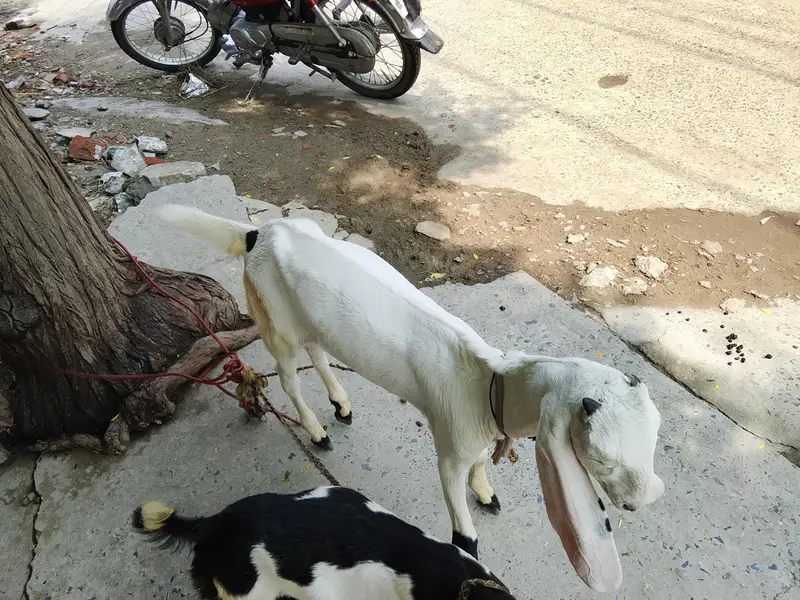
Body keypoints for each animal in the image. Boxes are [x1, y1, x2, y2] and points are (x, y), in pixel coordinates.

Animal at [155, 205, 665, 592]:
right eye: (599, 458)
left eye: (655, 436)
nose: (642, 501)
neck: (486, 382)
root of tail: (258, 232)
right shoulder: (449, 450)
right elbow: (464, 531)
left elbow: (481, 466)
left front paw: (487, 492)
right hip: (274, 319)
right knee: (287, 377)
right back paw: (317, 431)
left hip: (309, 318)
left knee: (318, 351)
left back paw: (341, 403)